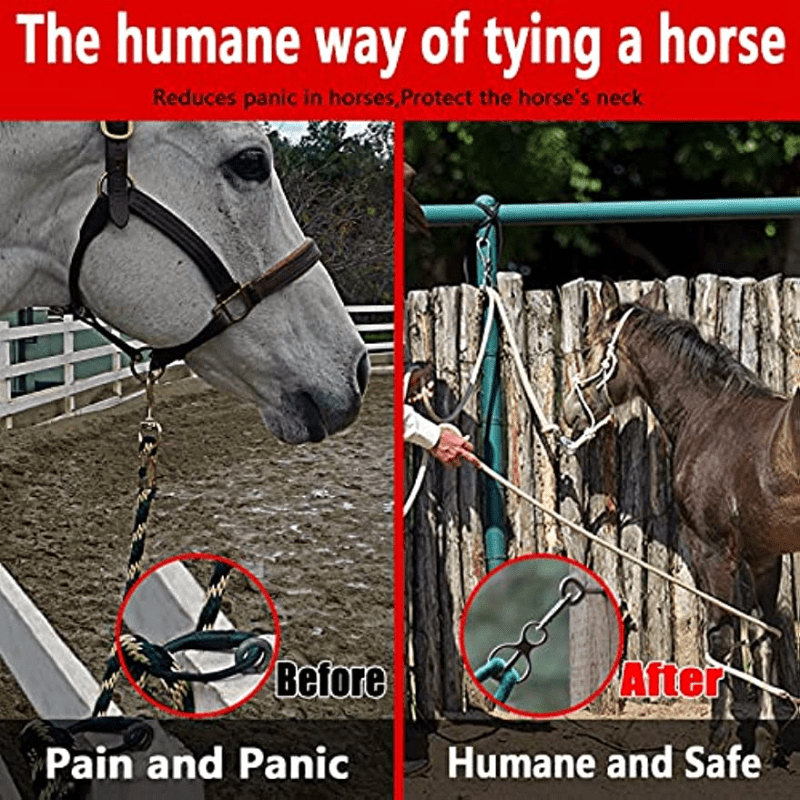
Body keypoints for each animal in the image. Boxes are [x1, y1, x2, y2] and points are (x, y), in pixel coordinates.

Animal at [563, 280, 800, 759]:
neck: (709, 415)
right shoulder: (764, 555)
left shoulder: (709, 550)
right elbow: (763, 632)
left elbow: (722, 637)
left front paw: (718, 737)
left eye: (588, 347)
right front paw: (768, 736)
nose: (569, 412)